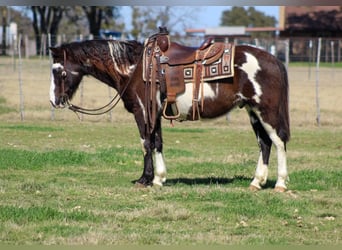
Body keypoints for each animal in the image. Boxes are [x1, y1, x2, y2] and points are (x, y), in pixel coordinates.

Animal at [48, 31, 288, 191]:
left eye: (59, 71)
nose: (54, 101)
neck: (135, 68)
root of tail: (274, 59)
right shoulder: (155, 113)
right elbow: (158, 142)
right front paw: (159, 178)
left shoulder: (142, 111)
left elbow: (146, 143)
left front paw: (145, 179)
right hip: (252, 111)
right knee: (264, 144)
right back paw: (256, 182)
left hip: (266, 112)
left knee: (278, 142)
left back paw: (281, 184)